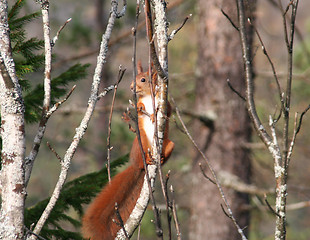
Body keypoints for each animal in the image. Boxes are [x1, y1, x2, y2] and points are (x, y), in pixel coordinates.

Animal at [81, 62, 174, 240]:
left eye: (143, 79)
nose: (132, 87)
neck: (148, 96)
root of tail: (138, 167)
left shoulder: (165, 102)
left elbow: (168, 111)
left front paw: (155, 115)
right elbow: (138, 109)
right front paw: (142, 107)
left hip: (169, 143)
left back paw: (160, 158)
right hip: (140, 142)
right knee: (141, 157)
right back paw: (148, 160)